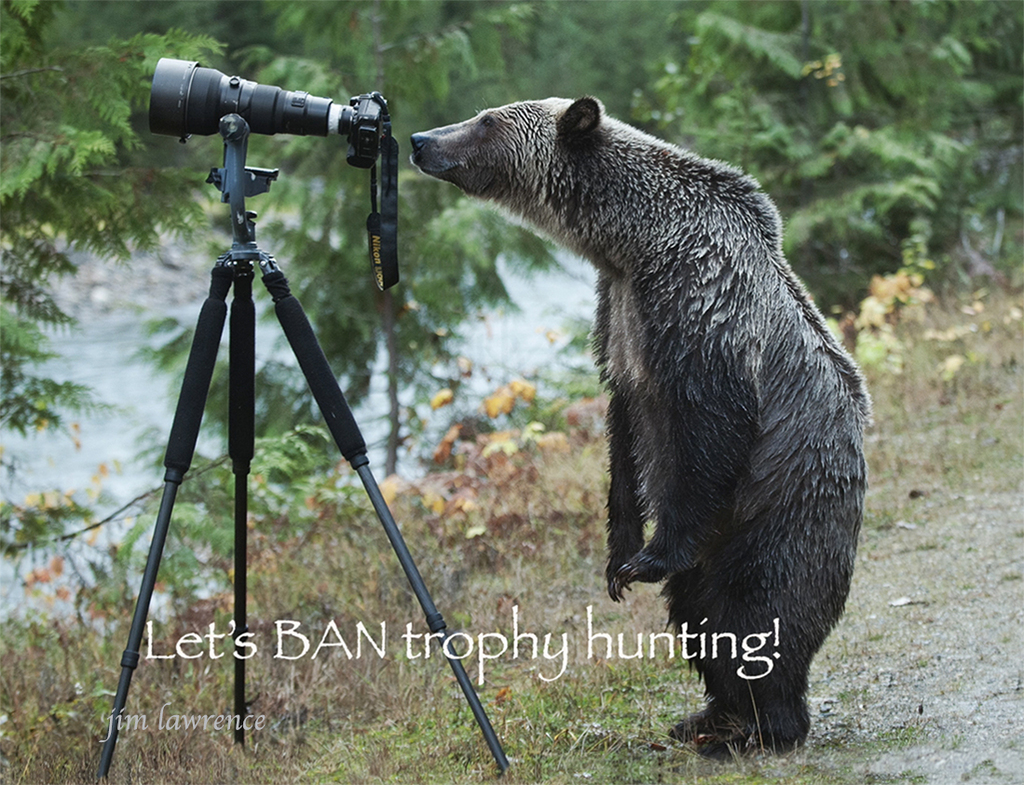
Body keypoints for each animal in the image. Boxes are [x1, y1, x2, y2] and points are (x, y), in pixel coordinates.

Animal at [410, 97, 871, 758]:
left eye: (488, 120)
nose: (421, 140)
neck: (632, 245)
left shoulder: (699, 309)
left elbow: (709, 429)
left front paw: (646, 558)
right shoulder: (618, 321)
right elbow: (623, 438)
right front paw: (618, 559)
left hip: (779, 511)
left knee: (756, 615)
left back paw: (761, 728)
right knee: (699, 614)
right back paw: (709, 716)